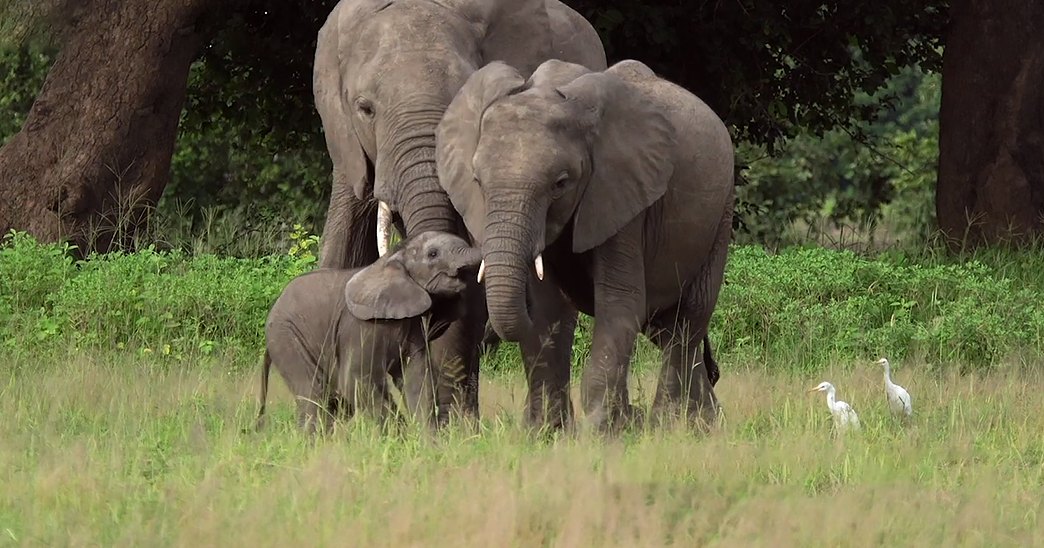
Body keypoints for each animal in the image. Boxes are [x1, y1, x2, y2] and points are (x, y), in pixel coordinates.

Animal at [255, 231, 482, 434]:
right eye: (433, 254)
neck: (393, 258)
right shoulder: (359, 327)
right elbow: (356, 382)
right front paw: (399, 440)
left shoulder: (414, 326)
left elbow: (417, 381)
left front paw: (428, 444)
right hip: (285, 337)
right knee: (314, 393)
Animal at [435, 59, 736, 432]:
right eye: (477, 181)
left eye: (561, 184)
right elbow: (547, 311)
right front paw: (546, 433)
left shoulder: (621, 195)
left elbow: (619, 304)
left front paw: (599, 432)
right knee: (667, 329)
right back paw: (699, 425)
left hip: (721, 213)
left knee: (688, 320)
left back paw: (670, 425)